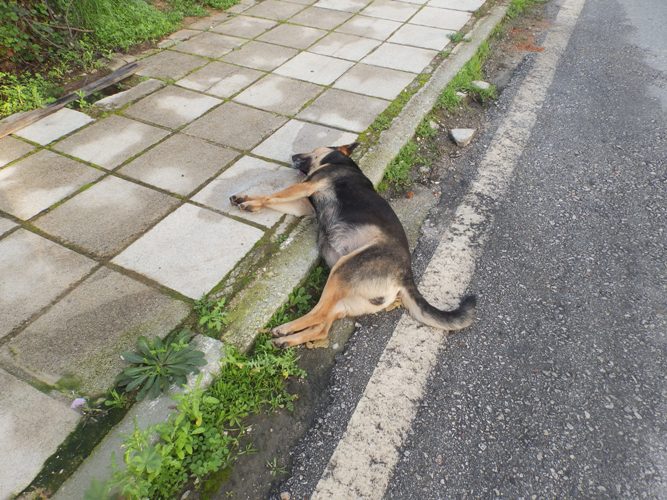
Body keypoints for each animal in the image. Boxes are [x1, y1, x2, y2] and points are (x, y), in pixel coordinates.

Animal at [232, 144, 478, 348]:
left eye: (313, 149)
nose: (293, 156)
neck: (341, 161)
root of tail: (405, 276)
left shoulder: (308, 186)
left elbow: (272, 196)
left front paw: (249, 201)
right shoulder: (304, 204)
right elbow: (274, 200)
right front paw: (247, 201)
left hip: (342, 270)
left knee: (319, 314)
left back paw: (285, 329)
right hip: (346, 299)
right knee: (323, 328)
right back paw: (290, 340)